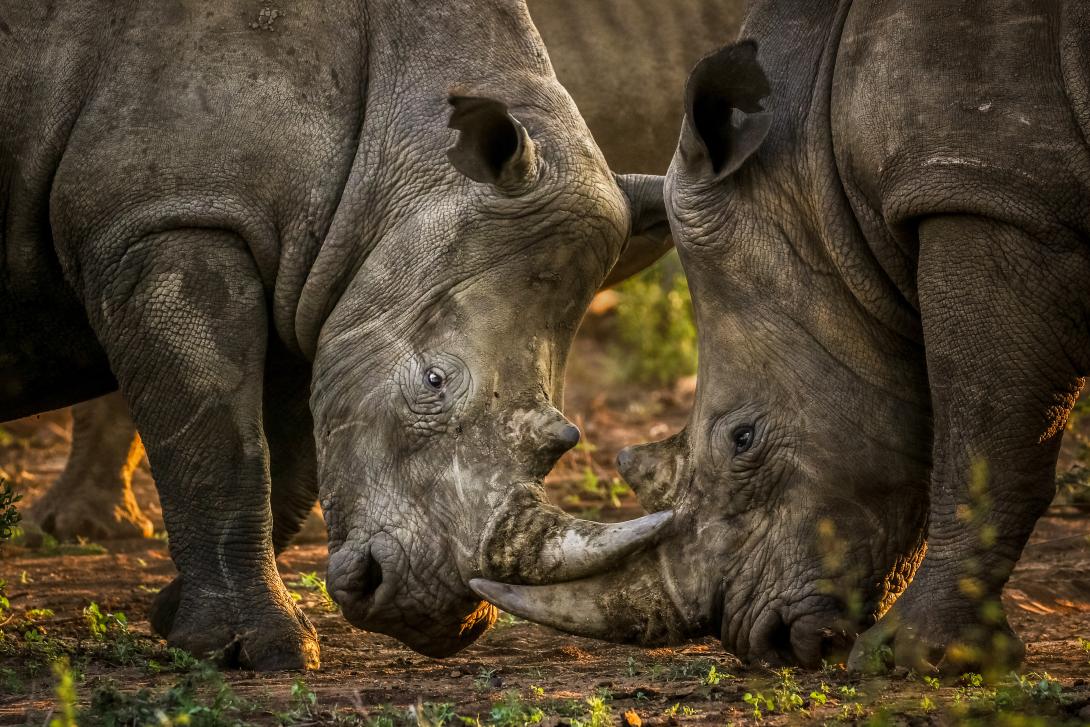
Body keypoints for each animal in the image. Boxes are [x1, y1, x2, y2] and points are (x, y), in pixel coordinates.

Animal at [0, 0, 687, 669]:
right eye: (433, 381)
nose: (434, 614)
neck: (407, 142)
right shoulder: (171, 217)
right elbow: (223, 446)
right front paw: (261, 651)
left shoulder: (313, 276)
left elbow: (288, 454)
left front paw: (179, 619)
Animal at [473, 0, 1090, 673]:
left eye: (743, 439)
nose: (763, 641)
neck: (815, 170)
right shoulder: (998, 193)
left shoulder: (989, 196)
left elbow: (981, 437)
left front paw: (914, 658)